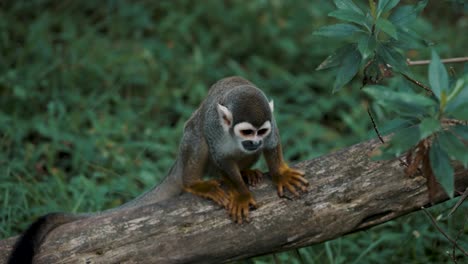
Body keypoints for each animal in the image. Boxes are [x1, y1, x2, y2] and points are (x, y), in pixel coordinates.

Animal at [7, 76, 308, 262]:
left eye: (261, 131)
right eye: (247, 131)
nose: (253, 141)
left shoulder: (271, 126)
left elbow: (273, 144)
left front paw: (279, 174)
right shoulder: (215, 128)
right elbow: (220, 157)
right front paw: (241, 194)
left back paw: (247, 173)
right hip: (193, 144)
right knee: (197, 138)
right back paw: (195, 183)